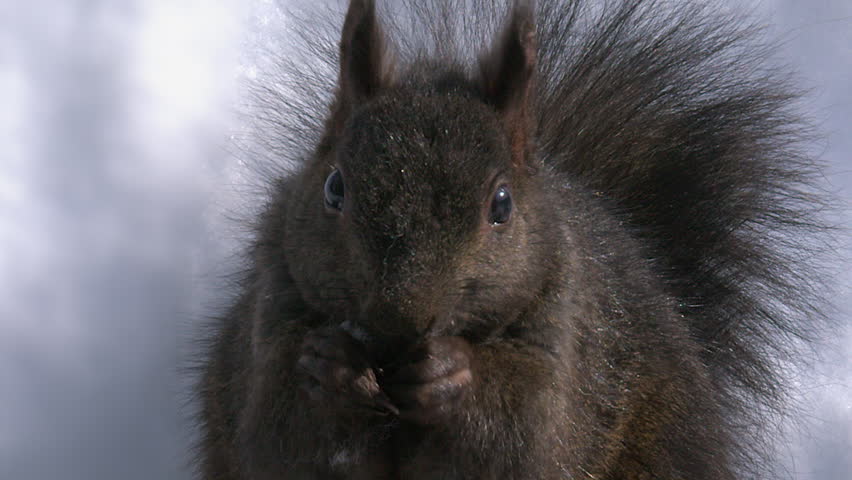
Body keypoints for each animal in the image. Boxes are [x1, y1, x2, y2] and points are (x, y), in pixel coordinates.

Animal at [196, 0, 834, 478]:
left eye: (501, 205)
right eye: (334, 188)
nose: (396, 324)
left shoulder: (567, 340)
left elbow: (523, 439)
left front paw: (452, 376)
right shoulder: (271, 303)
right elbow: (276, 433)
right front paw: (330, 367)